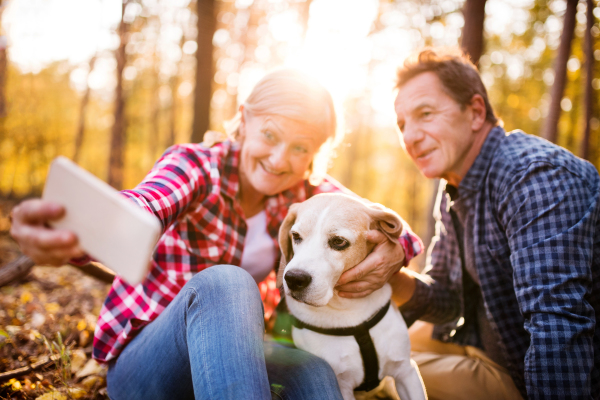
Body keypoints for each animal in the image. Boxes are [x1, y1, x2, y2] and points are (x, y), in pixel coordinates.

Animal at [276, 194, 426, 400]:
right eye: (296, 236)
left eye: (339, 241)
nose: (294, 279)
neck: (349, 310)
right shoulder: (343, 385)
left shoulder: (406, 370)